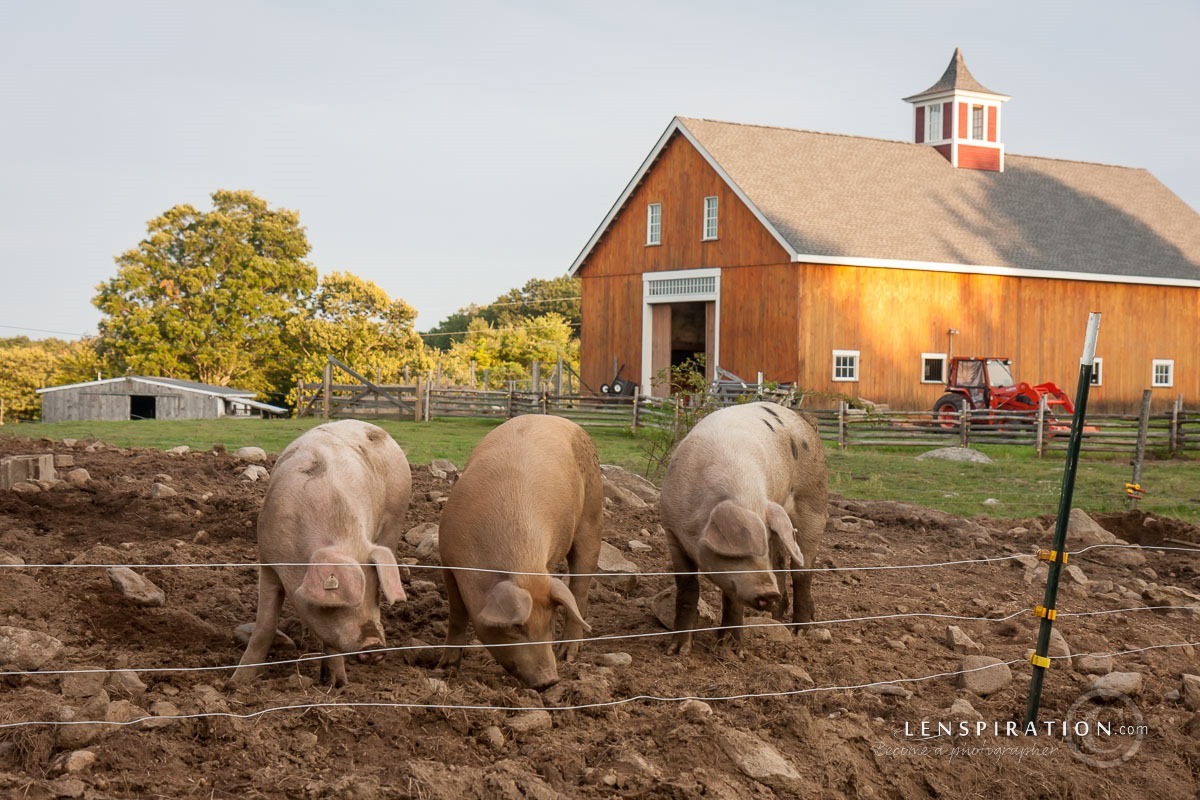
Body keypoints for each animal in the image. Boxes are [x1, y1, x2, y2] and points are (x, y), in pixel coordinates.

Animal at [231, 419, 415, 690]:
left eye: (375, 592)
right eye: (336, 602)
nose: (375, 647)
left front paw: (339, 685)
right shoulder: (268, 560)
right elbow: (265, 625)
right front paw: (235, 683)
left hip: (395, 519)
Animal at [439, 412, 604, 690]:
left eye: (550, 621)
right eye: (516, 627)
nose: (550, 680)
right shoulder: (447, 560)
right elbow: (457, 613)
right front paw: (444, 667)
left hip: (593, 515)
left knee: (580, 588)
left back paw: (568, 655)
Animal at [657, 400, 825, 657]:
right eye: (741, 551)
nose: (769, 593)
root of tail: (803, 420)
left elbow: (733, 598)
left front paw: (733, 651)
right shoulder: (671, 530)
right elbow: (687, 588)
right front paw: (677, 651)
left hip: (814, 503)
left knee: (802, 572)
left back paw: (799, 631)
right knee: (780, 566)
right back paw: (775, 621)